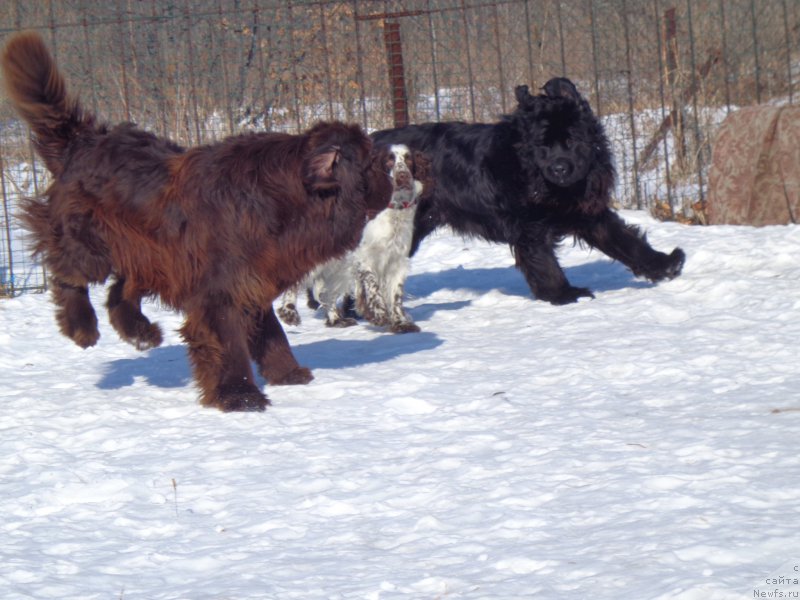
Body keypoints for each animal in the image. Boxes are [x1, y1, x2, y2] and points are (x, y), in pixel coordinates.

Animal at [1, 30, 392, 410]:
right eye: (371, 162)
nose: (391, 171)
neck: (285, 198)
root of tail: (82, 141)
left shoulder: (252, 280)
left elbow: (271, 334)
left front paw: (288, 374)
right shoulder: (222, 288)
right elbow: (228, 344)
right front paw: (240, 395)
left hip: (145, 253)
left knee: (118, 292)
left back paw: (141, 334)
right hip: (90, 242)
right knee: (67, 274)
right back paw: (82, 327)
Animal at [372, 78, 684, 304]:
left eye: (572, 141)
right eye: (542, 144)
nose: (559, 168)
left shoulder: (589, 214)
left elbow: (625, 241)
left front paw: (665, 264)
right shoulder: (530, 226)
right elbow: (544, 263)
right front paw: (564, 295)